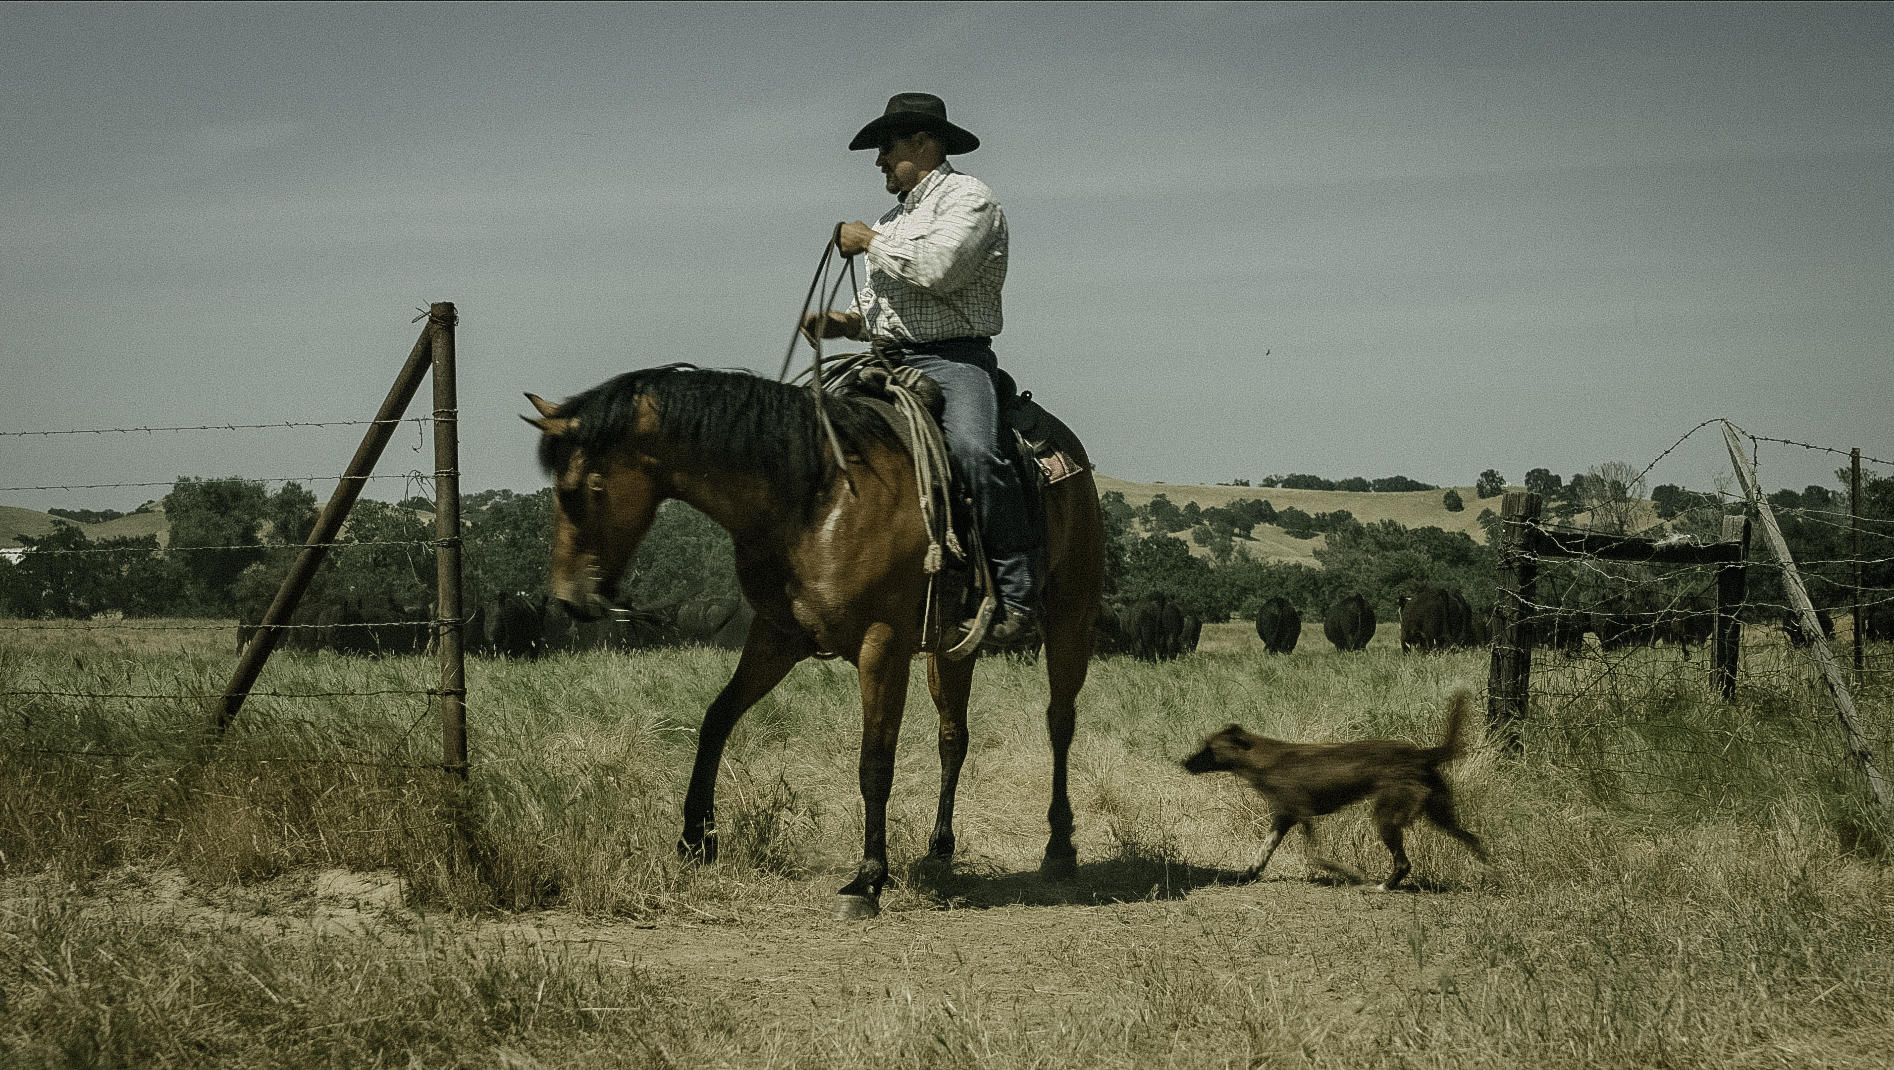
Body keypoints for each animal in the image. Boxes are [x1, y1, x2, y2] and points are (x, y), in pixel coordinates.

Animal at [526, 365, 1106, 916]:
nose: (568, 600)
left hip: (1069, 621)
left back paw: (1059, 848)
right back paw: (940, 849)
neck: (815, 498)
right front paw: (696, 839)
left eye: (586, 489)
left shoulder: (882, 646)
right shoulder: (777, 635)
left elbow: (875, 762)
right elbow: (716, 720)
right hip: (951, 649)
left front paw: (868, 878)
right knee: (953, 736)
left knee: (1059, 723)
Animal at [1174, 689, 1484, 890]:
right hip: (1439, 813)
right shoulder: (1284, 818)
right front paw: (1247, 874)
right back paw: (1489, 875)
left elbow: (1316, 857)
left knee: (1404, 862)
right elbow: (1263, 853)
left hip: (1386, 816)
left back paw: (1382, 886)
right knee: (1474, 839)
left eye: (1208, 748)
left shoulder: (1302, 815)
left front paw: (1352, 874)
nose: (1183, 763)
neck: (1262, 759)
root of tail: (1419, 754)